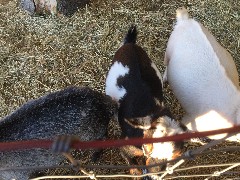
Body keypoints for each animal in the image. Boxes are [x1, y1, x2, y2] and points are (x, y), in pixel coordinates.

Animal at [105, 25, 186, 174]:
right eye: (150, 146)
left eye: (175, 156)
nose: (153, 174)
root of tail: (130, 44)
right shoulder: (125, 144)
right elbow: (132, 164)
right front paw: (136, 172)